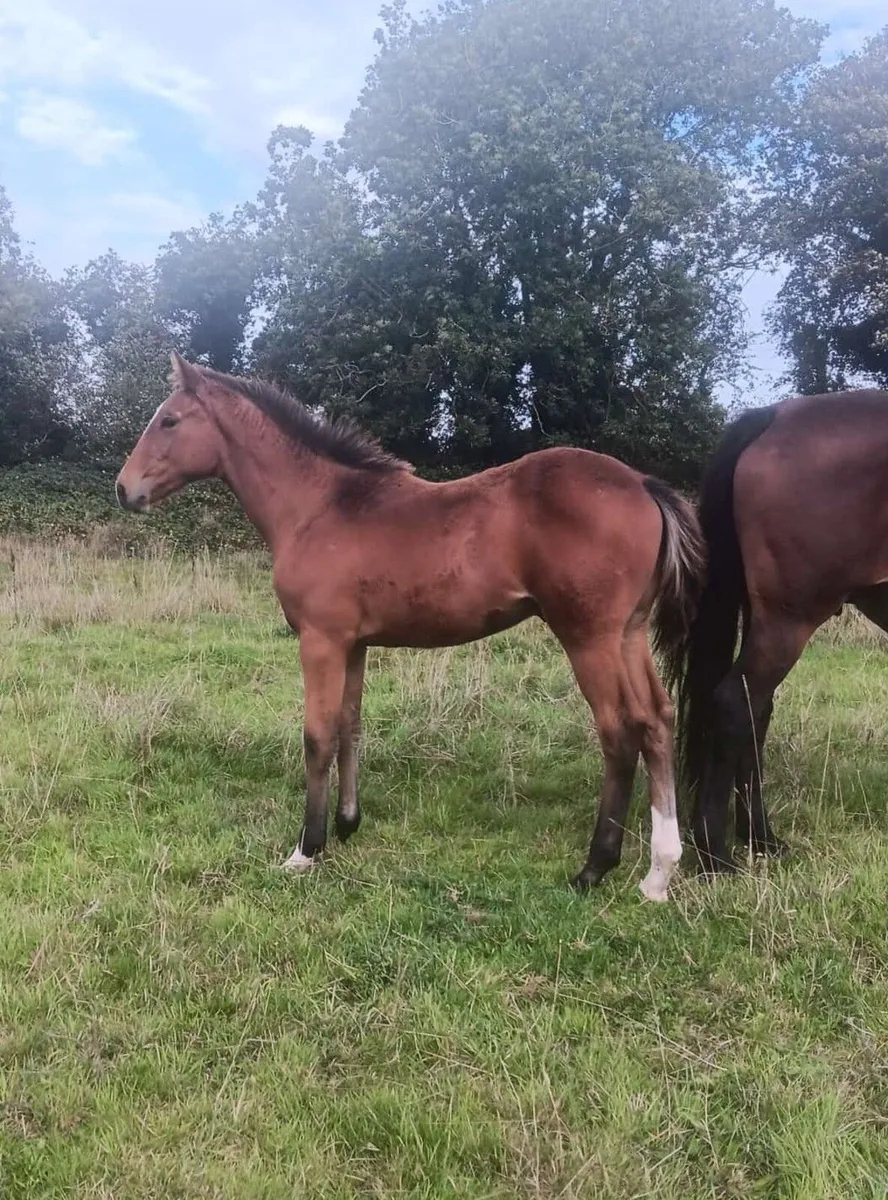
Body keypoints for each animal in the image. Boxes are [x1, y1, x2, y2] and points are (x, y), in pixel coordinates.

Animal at [116, 351, 704, 901]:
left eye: (169, 420)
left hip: (588, 637)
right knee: (656, 720)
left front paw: (307, 849)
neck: (319, 507)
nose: (125, 489)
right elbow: (349, 726)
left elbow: (317, 736)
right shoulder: (354, 644)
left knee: (619, 732)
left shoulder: (321, 640)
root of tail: (643, 483)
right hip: (628, 634)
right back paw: (658, 873)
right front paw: (347, 825)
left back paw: (595, 867)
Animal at [671, 387, 888, 873]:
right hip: (789, 621)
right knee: (736, 703)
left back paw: (760, 838)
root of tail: (775, 416)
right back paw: (715, 854)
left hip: (766, 618)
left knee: (757, 710)